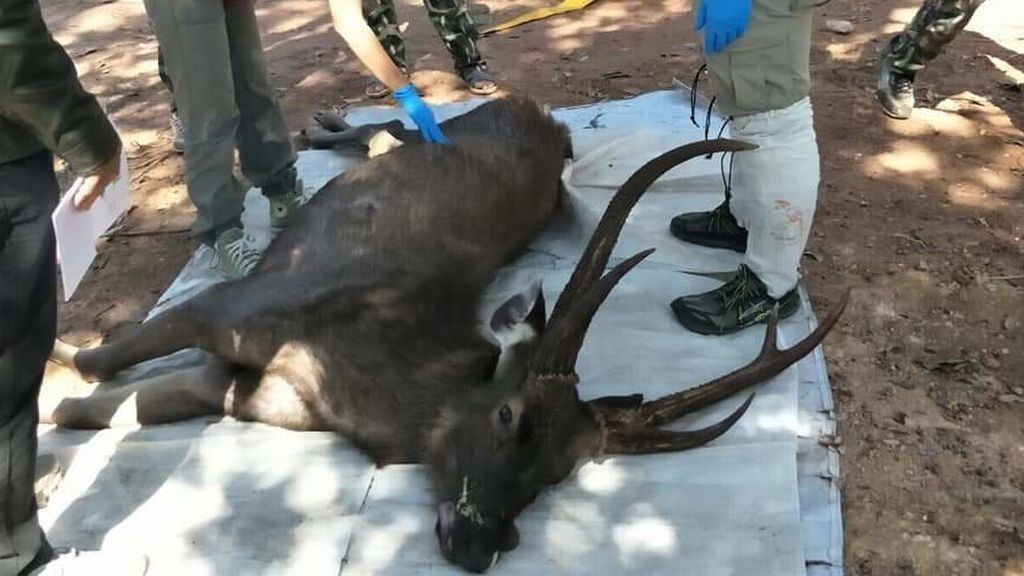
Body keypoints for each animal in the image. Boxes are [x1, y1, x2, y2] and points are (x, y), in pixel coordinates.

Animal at [45, 96, 848, 573]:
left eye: (561, 473)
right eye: (508, 414)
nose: (478, 544)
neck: (364, 383)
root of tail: (543, 116)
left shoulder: (247, 391)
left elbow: (103, 409)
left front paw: (57, 414)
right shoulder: (230, 305)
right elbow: (101, 365)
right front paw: (54, 359)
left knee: (387, 133)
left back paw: (324, 124)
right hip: (446, 132)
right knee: (392, 126)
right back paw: (320, 123)